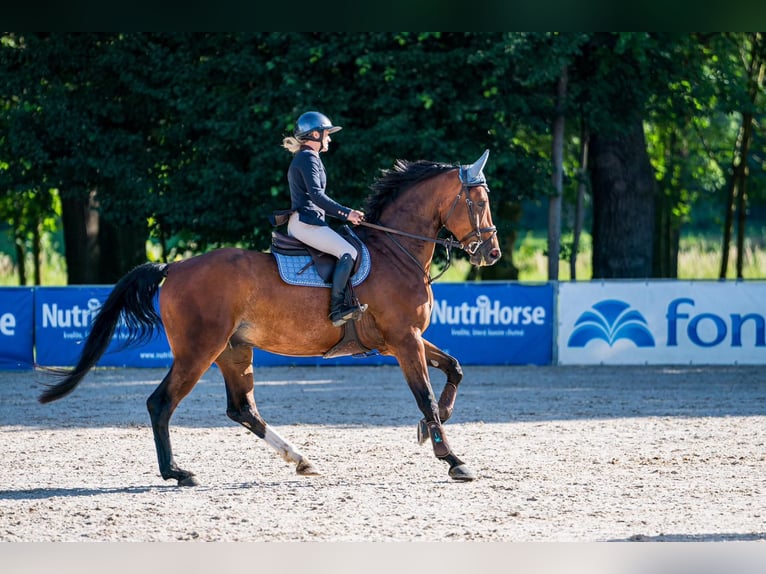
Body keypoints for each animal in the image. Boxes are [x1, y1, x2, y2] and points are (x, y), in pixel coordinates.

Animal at [39, 148, 504, 486]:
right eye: (479, 201)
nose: (492, 253)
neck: (396, 250)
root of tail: (174, 267)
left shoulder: (402, 338)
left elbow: (454, 369)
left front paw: (432, 428)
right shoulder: (404, 339)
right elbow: (424, 394)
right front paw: (452, 458)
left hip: (233, 351)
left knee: (242, 409)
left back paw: (299, 459)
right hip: (198, 351)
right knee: (161, 403)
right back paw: (178, 473)